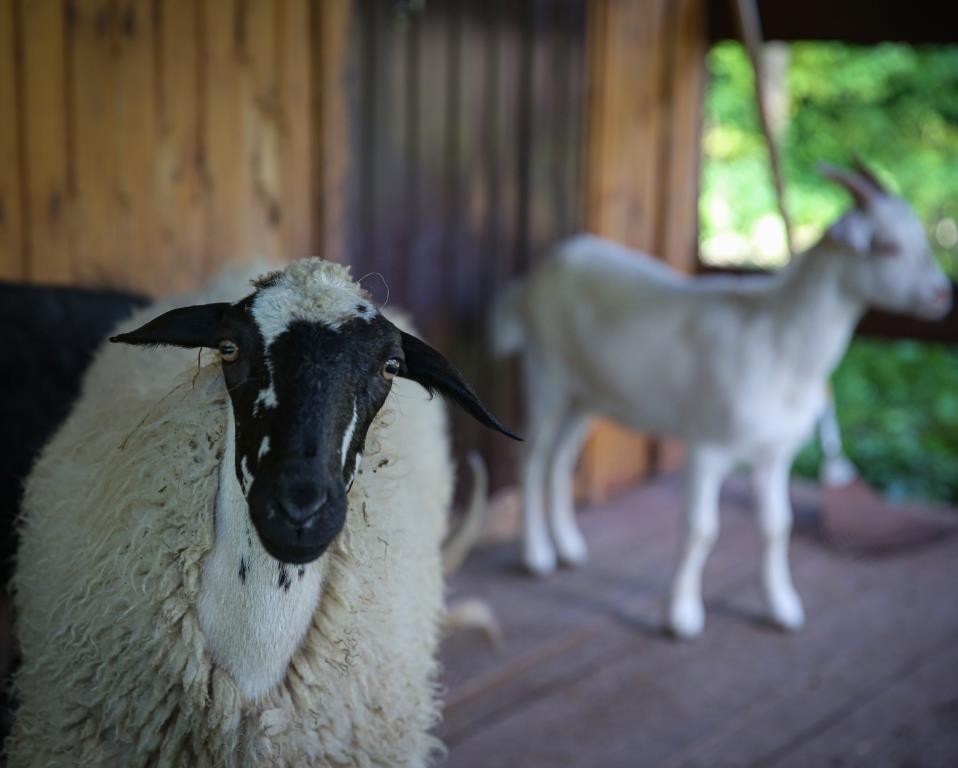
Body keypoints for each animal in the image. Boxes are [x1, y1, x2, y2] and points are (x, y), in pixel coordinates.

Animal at [492, 165, 956, 640]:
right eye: (888, 246)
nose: (942, 295)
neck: (779, 343)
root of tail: (534, 276)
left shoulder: (774, 454)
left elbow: (778, 526)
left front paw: (782, 608)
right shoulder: (707, 444)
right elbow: (701, 530)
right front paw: (681, 617)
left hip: (588, 394)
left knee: (561, 459)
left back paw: (569, 547)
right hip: (545, 371)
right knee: (533, 457)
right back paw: (537, 556)